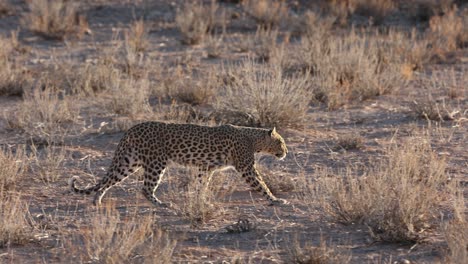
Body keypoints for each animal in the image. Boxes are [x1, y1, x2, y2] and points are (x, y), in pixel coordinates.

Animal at [69, 121, 288, 206]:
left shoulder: (205, 168)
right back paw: (161, 204)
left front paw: (201, 201)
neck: (253, 139)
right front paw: (275, 200)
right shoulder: (247, 168)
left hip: (128, 162)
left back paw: (97, 200)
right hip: (156, 163)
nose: (286, 152)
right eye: (281, 142)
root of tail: (131, 129)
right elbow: (261, 185)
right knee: (146, 188)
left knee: (108, 180)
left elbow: (201, 185)